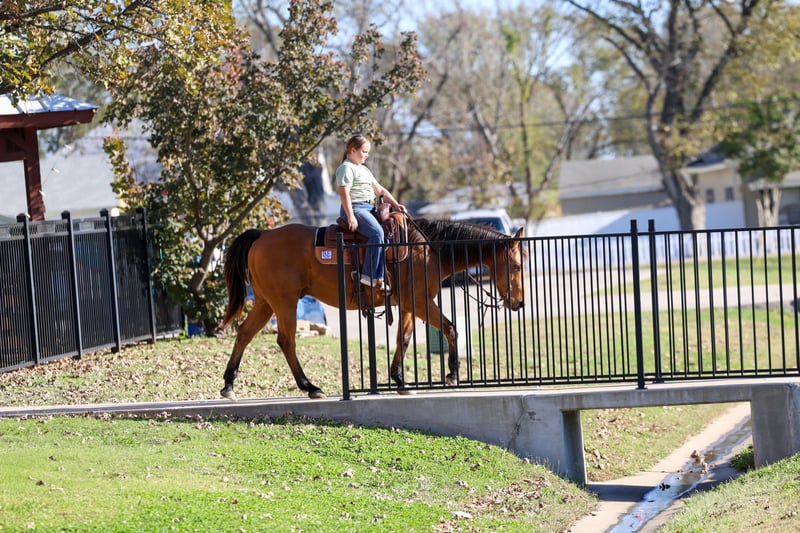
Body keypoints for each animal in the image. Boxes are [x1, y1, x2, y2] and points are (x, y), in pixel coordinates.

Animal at [220, 217, 526, 400]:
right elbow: (450, 328)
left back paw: (229, 385)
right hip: (284, 302)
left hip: (265, 302)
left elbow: (403, 339)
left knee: (244, 334)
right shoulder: (422, 302)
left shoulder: (409, 305)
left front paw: (400, 381)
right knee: (286, 341)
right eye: (516, 265)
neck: (428, 251)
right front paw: (451, 374)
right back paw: (311, 387)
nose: (520, 302)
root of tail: (263, 235)